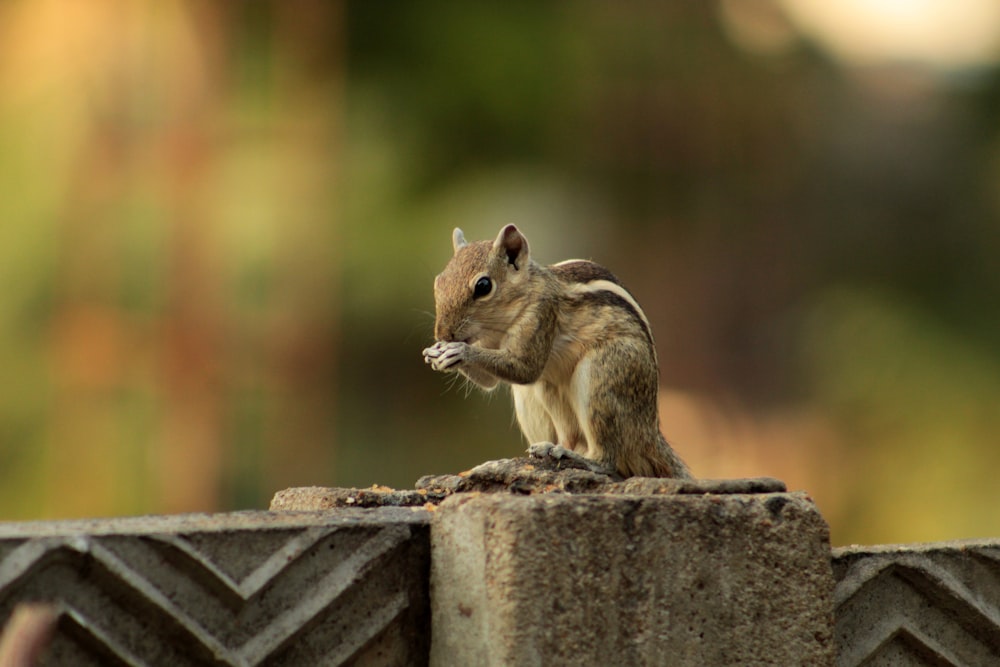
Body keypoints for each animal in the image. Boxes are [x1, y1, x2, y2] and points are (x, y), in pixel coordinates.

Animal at [420, 224, 688, 480]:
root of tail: (650, 433)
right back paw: (549, 448)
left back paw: (577, 457)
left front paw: (459, 350)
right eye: (438, 281)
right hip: (535, 397)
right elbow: (489, 381)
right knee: (569, 434)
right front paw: (435, 353)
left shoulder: (541, 316)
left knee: (607, 460)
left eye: (483, 286)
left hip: (602, 377)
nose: (443, 334)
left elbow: (526, 369)